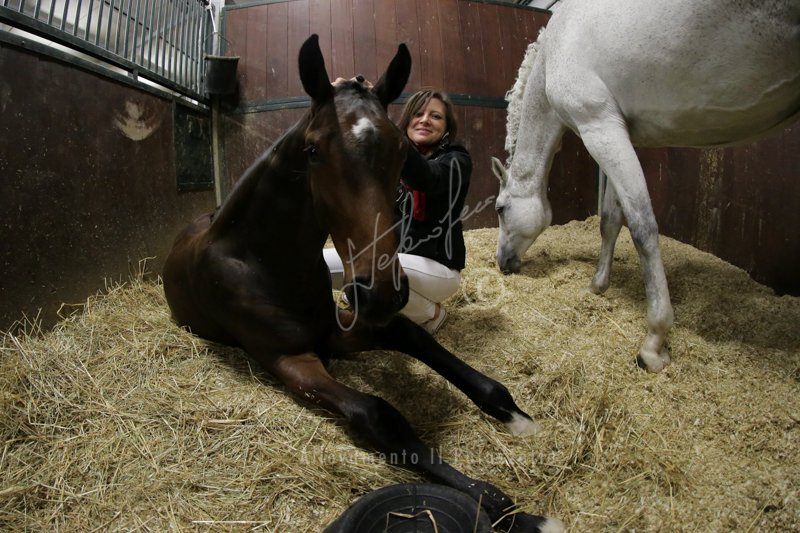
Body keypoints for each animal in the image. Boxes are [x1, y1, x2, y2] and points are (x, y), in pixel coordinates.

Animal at [163, 35, 562, 532]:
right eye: (313, 150)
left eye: (402, 152)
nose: (382, 292)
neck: (262, 260)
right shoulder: (290, 358)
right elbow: (378, 415)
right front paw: (515, 513)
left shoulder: (341, 329)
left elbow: (421, 341)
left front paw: (518, 419)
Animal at [491, 0, 800, 373]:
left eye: (500, 208)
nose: (502, 263)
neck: (554, 51)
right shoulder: (618, 134)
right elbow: (610, 220)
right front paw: (597, 286)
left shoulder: (599, 127)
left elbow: (642, 229)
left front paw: (654, 343)